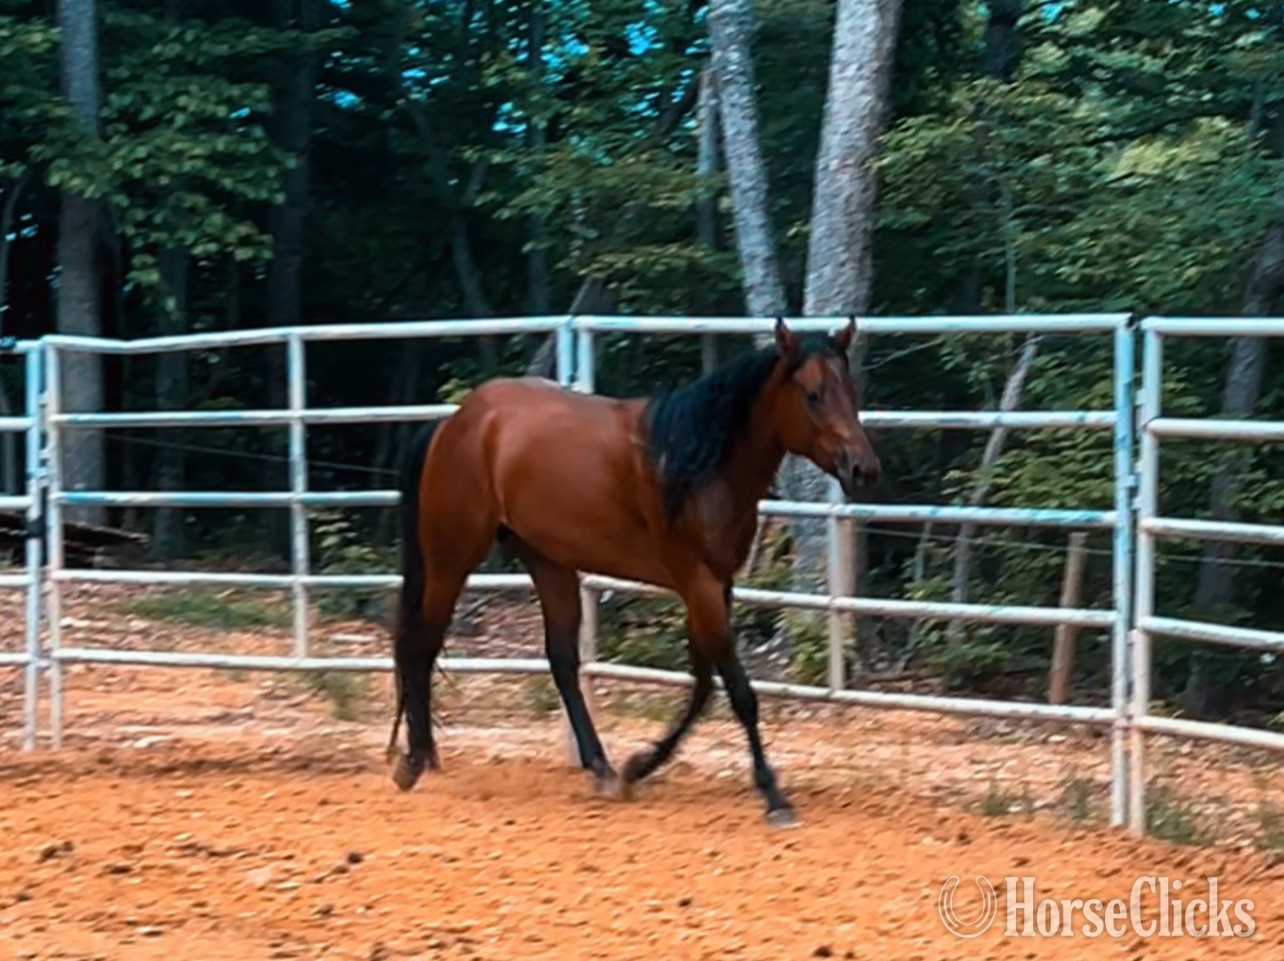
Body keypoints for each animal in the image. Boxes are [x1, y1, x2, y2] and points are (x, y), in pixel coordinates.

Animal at [385, 318, 881, 826]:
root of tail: (455, 422)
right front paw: (774, 796)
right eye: (813, 394)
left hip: (549, 562)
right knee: (419, 646)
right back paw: (415, 761)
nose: (863, 469)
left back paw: (601, 768)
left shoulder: (714, 585)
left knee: (561, 661)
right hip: (451, 559)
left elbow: (702, 684)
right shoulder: (698, 582)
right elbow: (739, 690)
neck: (700, 463)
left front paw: (640, 766)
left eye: (850, 390)